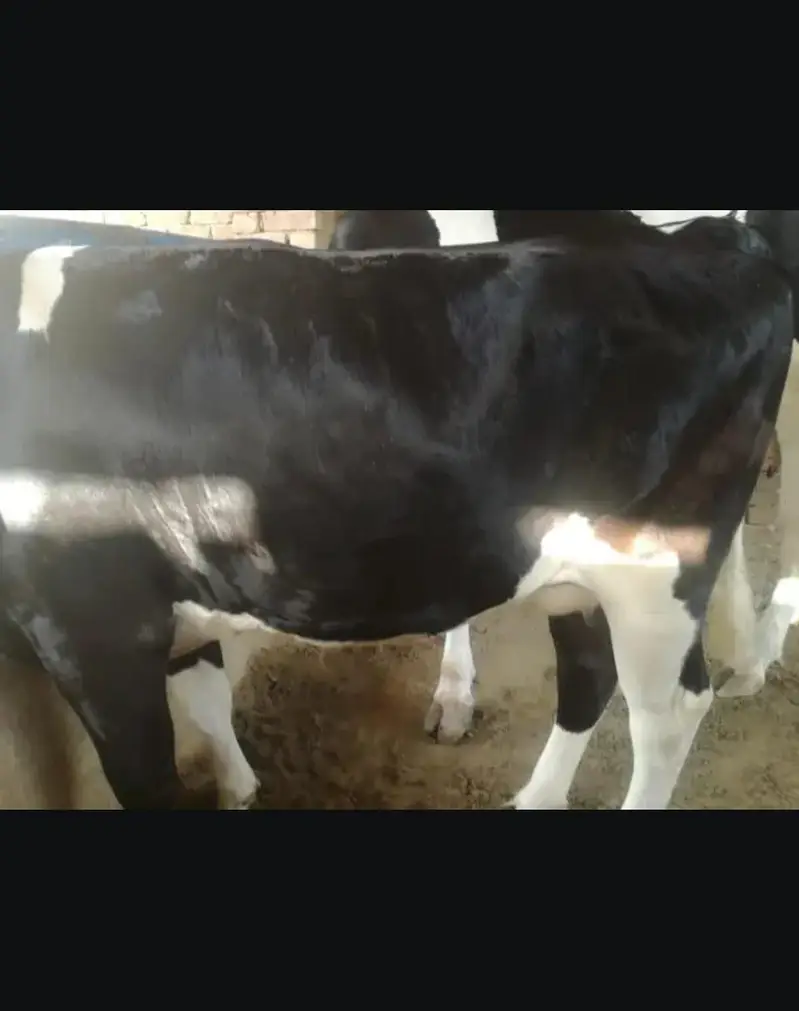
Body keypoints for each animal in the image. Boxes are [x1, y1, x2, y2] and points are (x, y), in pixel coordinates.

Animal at [0, 226, 791, 811]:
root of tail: (716, 242)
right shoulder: (178, 580)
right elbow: (208, 698)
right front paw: (240, 789)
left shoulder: (89, 624)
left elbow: (146, 774)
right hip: (579, 573)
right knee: (588, 673)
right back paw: (534, 798)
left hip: (657, 568)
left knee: (668, 715)